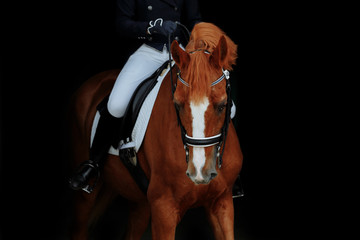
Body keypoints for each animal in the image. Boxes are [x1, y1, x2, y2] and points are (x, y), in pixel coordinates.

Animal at [69, 21, 243, 239]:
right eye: (177, 104)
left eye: (222, 105)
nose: (199, 172)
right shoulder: (164, 208)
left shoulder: (222, 202)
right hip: (85, 198)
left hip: (139, 202)